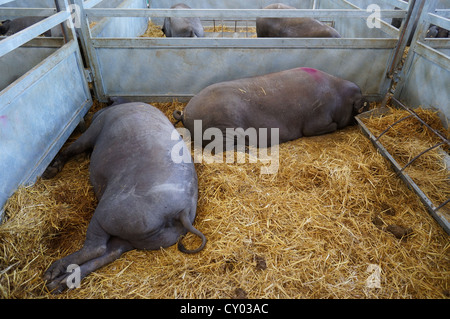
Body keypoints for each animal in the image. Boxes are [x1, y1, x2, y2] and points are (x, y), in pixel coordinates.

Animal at [174, 68, 368, 148]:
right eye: (358, 106)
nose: (367, 105)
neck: (339, 95)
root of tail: (185, 113)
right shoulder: (316, 121)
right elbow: (329, 126)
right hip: (221, 128)